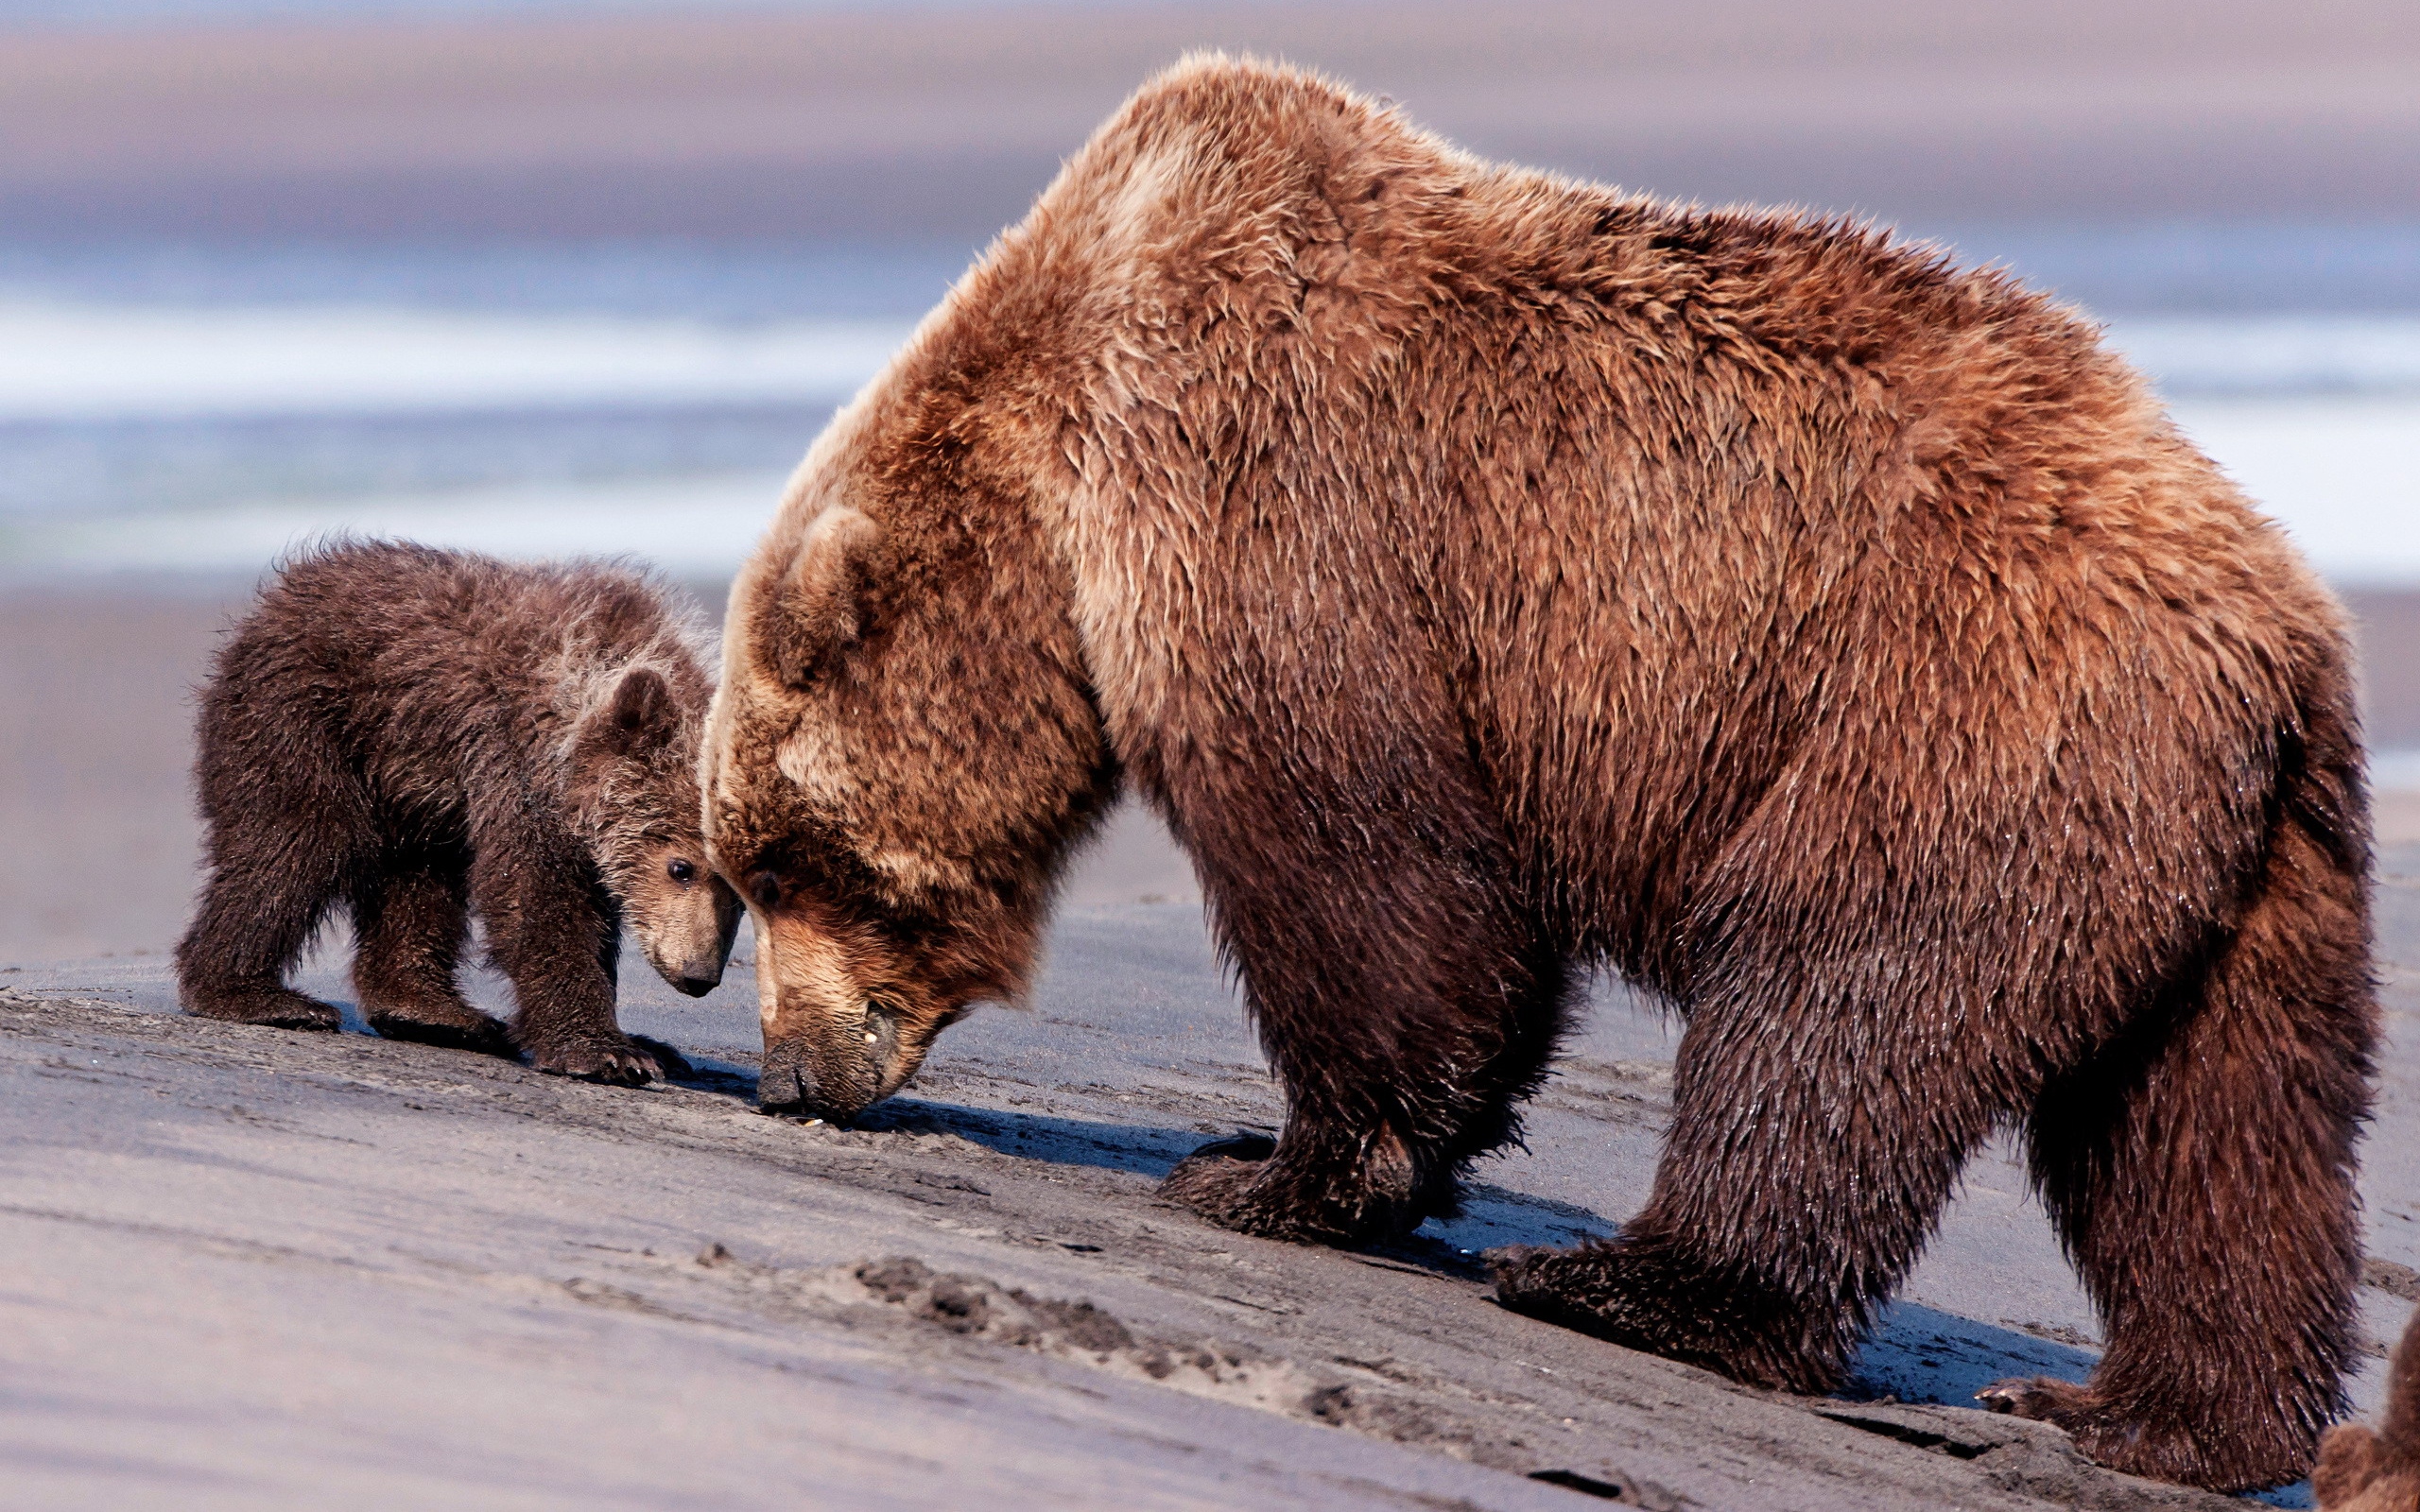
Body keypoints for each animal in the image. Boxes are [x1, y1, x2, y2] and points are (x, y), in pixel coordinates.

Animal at [178, 539, 741, 1085]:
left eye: (739, 895)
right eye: (681, 868)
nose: (699, 975)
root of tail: (282, 594)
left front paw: (648, 1044)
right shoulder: (516, 762)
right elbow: (537, 895)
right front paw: (606, 1051)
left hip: (409, 782)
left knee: (417, 878)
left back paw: (435, 1011)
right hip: (306, 716)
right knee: (295, 843)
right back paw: (254, 995)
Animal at [696, 57, 2376, 1491]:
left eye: (780, 863)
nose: (791, 1075)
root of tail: (2282, 621)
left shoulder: (1271, 496)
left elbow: (1373, 872)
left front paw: (1265, 1170)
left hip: (1949, 709)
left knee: (1832, 992)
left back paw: (1632, 1281)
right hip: (2239, 860)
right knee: (2213, 1133)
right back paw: (2143, 1414)